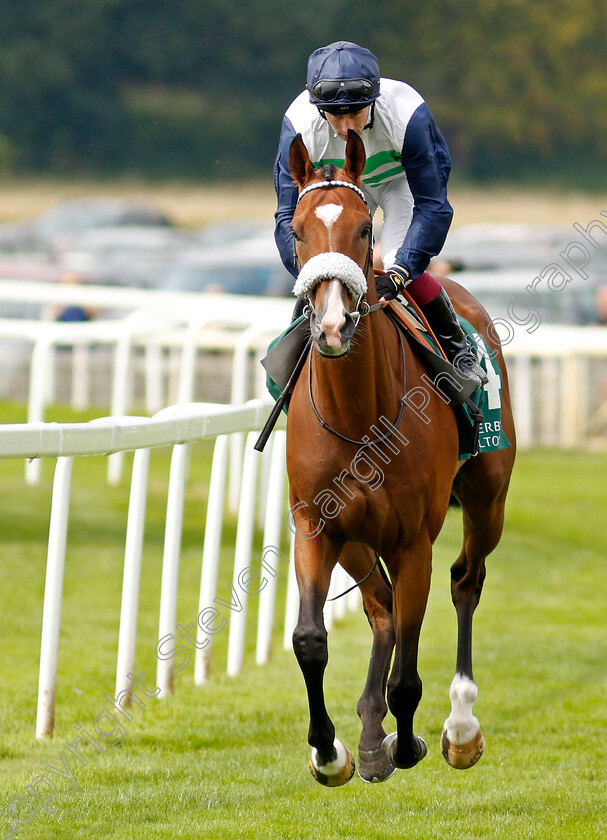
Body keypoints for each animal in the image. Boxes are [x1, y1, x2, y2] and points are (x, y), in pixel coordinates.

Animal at [288, 128, 516, 784]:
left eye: (365, 228)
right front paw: (329, 750)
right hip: (359, 538)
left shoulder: (415, 537)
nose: (332, 326)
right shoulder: (316, 525)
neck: (358, 414)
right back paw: (369, 737)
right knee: (381, 608)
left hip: (487, 500)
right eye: (297, 230)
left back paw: (459, 727)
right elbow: (311, 638)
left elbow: (410, 674)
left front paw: (410, 741)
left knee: (466, 580)